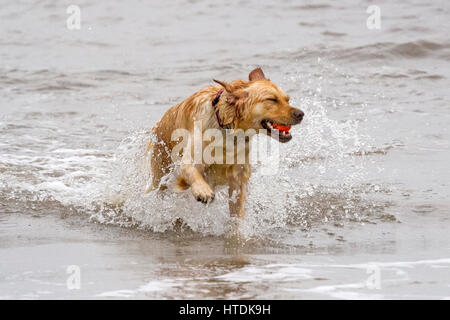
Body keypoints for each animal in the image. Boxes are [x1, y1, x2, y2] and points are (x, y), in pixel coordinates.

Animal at [149, 67, 304, 218]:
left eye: (287, 100)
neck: (228, 128)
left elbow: (237, 214)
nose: (301, 114)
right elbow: (190, 169)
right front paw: (202, 190)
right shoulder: (191, 156)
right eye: (271, 99)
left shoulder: (238, 178)